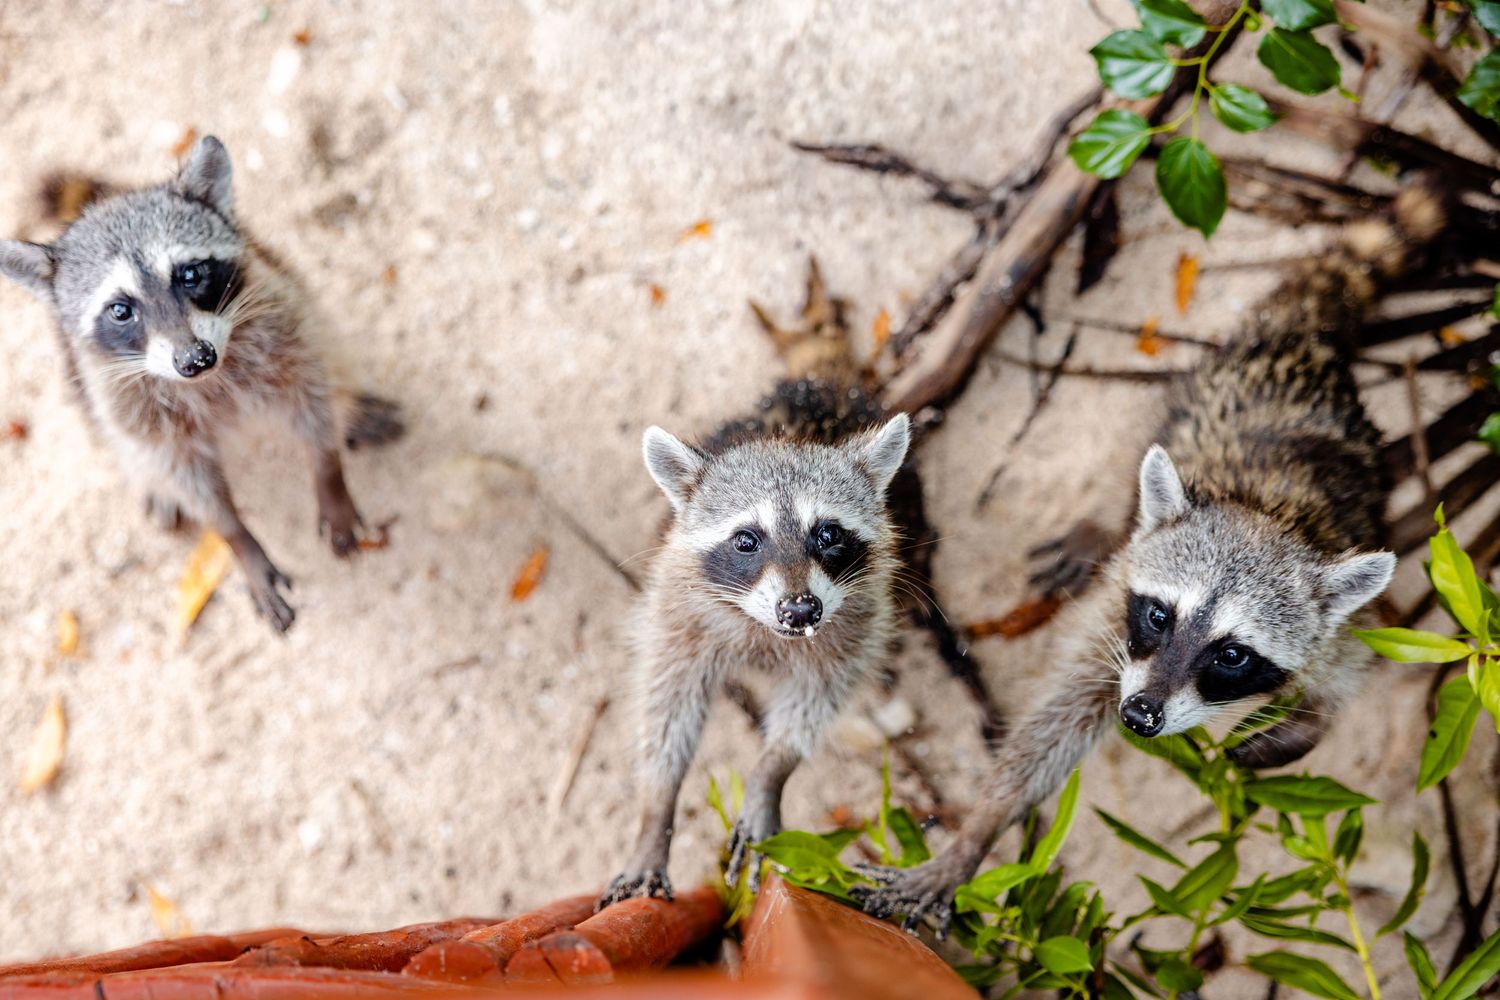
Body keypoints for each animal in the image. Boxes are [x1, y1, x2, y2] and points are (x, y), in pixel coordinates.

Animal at [0, 136, 403, 632]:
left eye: (190, 274)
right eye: (120, 310)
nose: (195, 359)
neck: (215, 375)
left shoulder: (285, 322)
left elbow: (313, 401)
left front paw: (329, 474)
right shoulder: (125, 397)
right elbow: (188, 478)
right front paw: (237, 537)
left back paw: (355, 409)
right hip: (83, 380)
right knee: (109, 432)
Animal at [851, 182, 1445, 934]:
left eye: (1232, 654)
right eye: (1160, 616)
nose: (1139, 718)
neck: (1263, 511)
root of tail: (1297, 348)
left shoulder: (1335, 624)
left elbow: (1348, 677)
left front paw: (1302, 727)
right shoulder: (1115, 615)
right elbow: (1056, 723)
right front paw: (978, 831)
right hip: (1185, 396)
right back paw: (1108, 522)